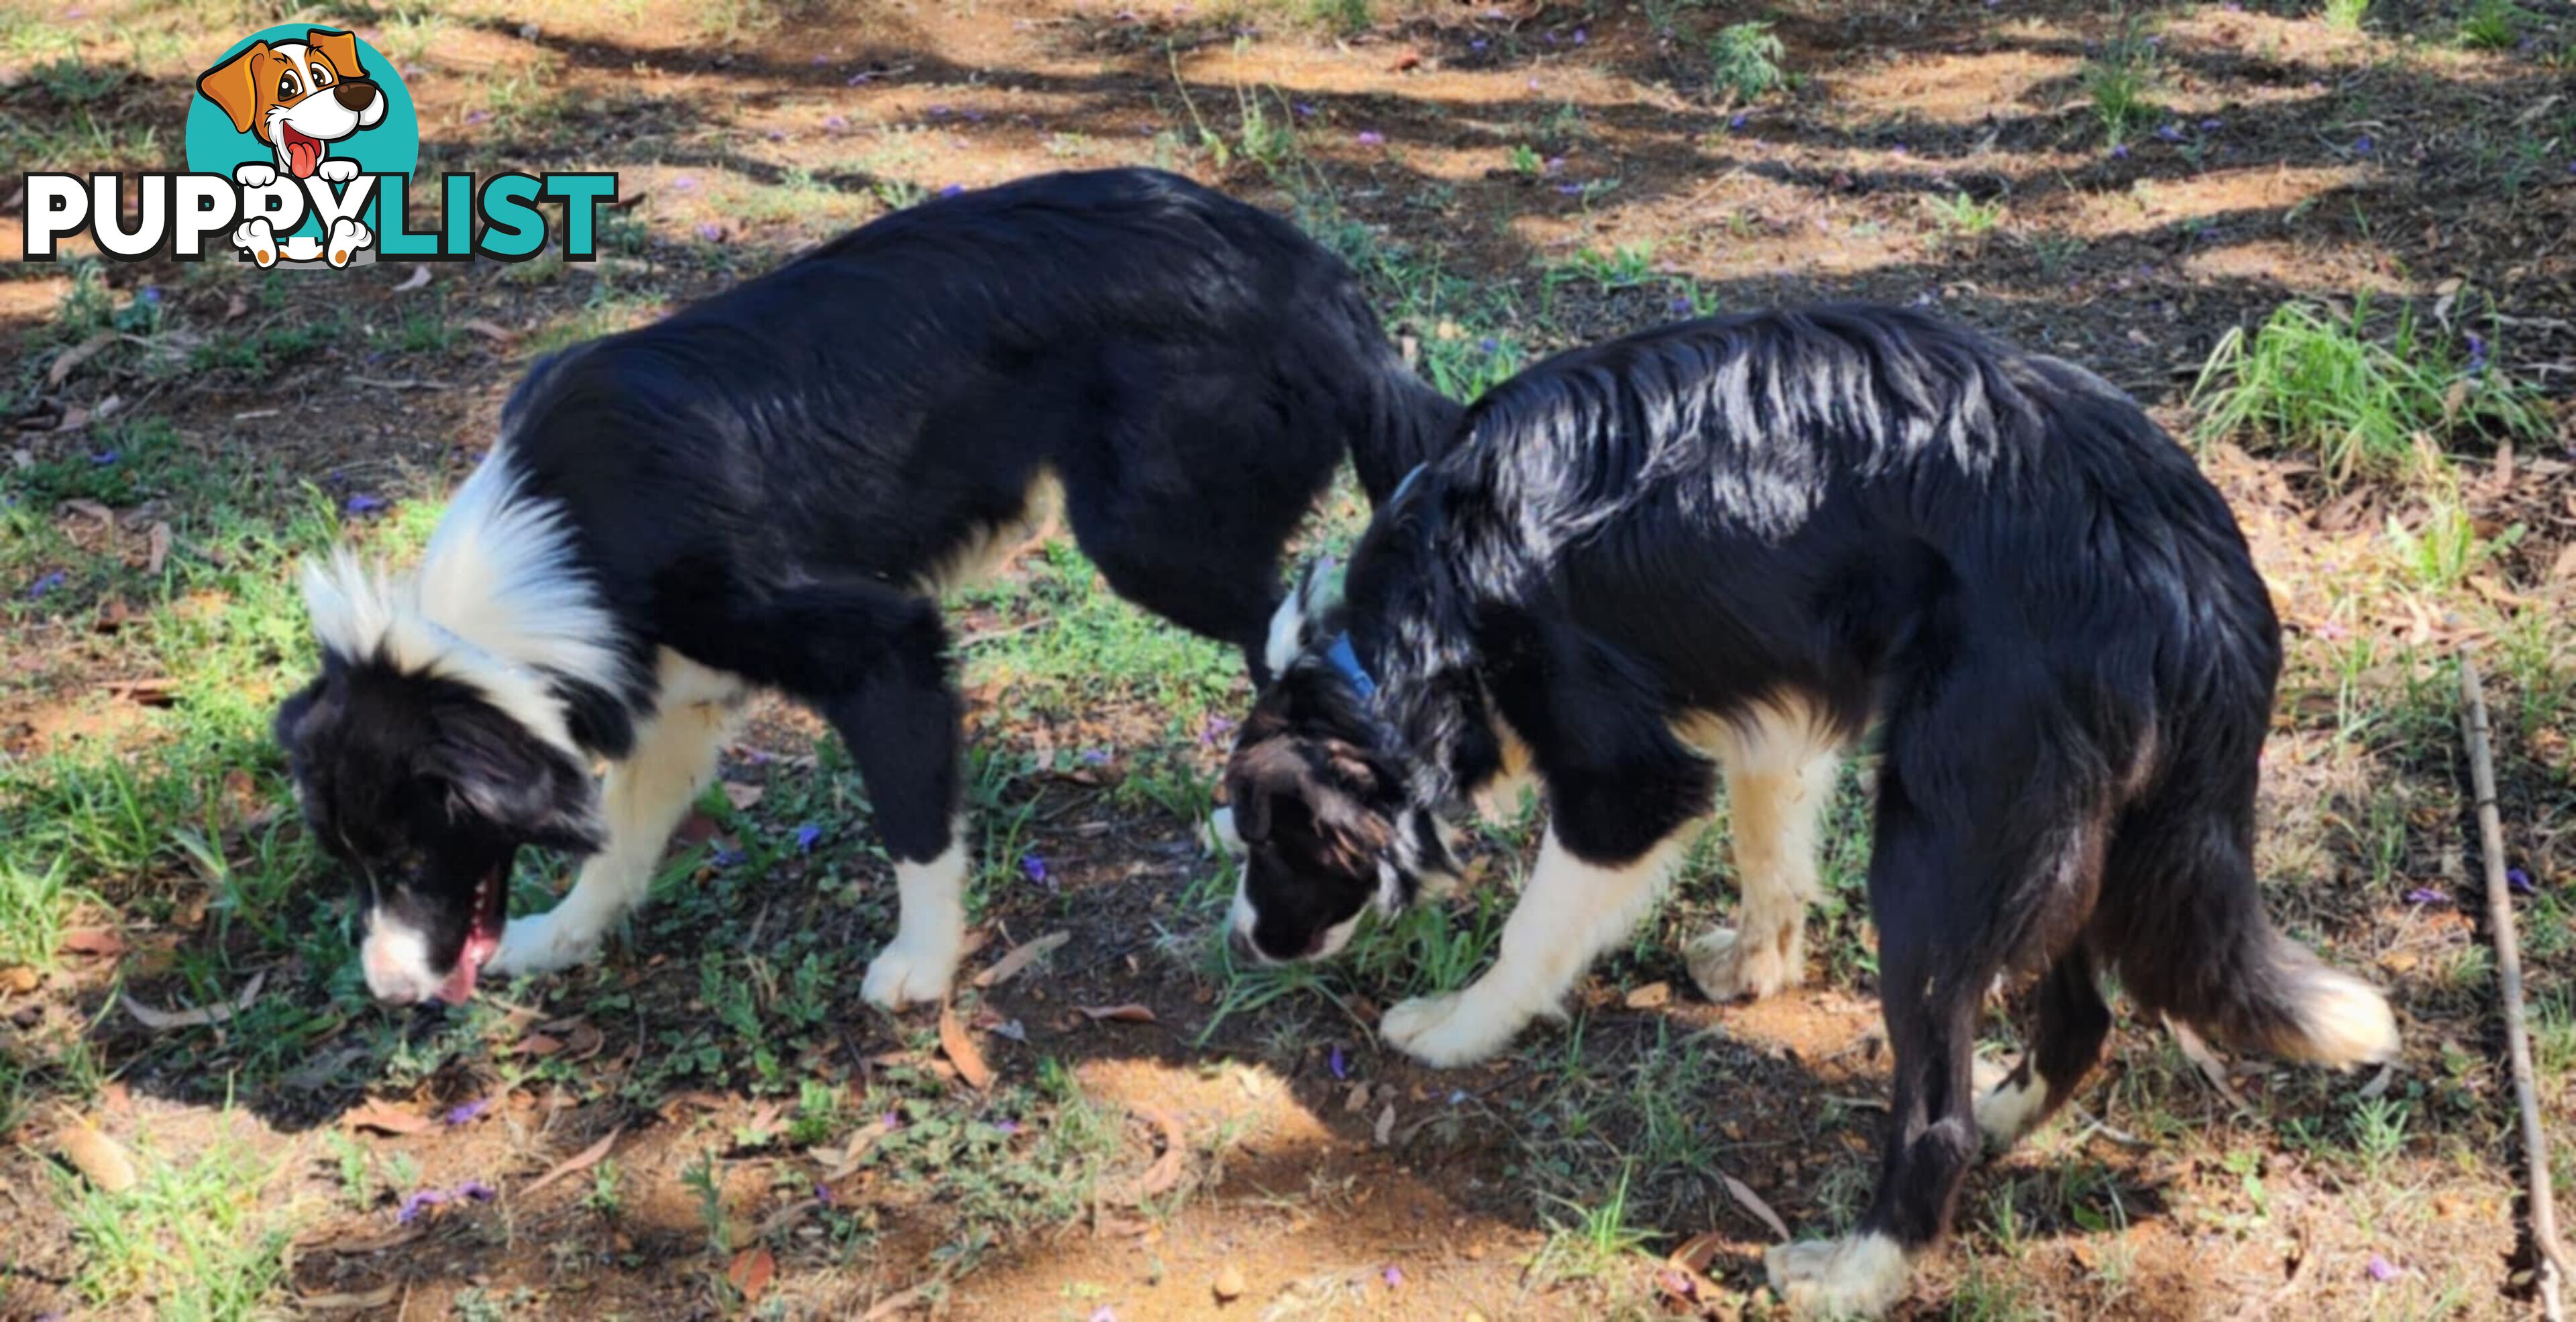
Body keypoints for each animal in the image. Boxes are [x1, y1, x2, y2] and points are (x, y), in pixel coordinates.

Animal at [282, 164, 1463, 1010]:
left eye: (407, 851)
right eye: (347, 860)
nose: (391, 993)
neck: (569, 532)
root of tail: (1321, 288)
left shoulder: (882, 643)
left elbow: (917, 825)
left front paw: (923, 964)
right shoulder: (672, 691)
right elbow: (617, 840)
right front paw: (564, 935)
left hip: (1150, 537)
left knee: (1294, 633)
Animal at [1221, 307, 2390, 1309]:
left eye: (1275, 843)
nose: (1247, 941)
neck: (1416, 618)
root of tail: (2185, 557)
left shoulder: (1623, 780)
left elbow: (1530, 935)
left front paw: (1457, 1026)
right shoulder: (1767, 708)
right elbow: (1770, 851)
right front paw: (1758, 963)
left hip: (1941, 841)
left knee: (1933, 1109)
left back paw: (1857, 1267)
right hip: (2063, 835)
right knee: (2078, 1017)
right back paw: (2006, 1114)